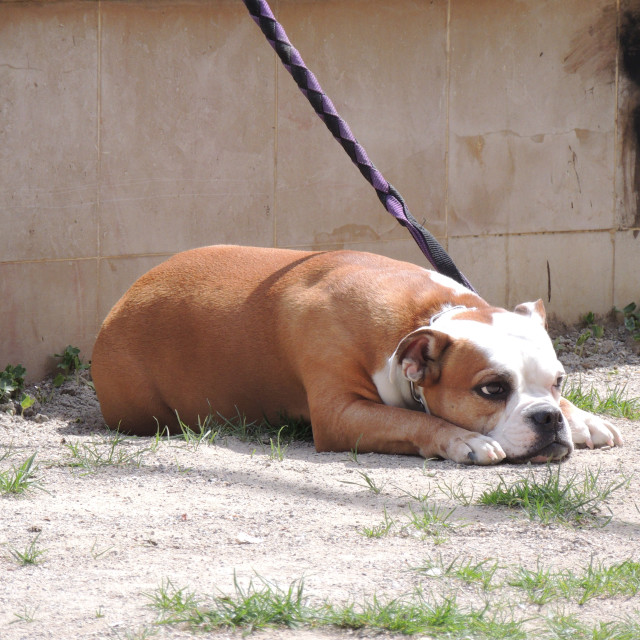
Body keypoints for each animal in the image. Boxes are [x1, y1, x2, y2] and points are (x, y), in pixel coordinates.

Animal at [92, 245, 624, 464]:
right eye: (492, 389)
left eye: (559, 381)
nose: (548, 418)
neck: (423, 316)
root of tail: (120, 301)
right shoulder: (340, 413)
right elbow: (411, 420)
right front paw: (461, 440)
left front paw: (582, 418)